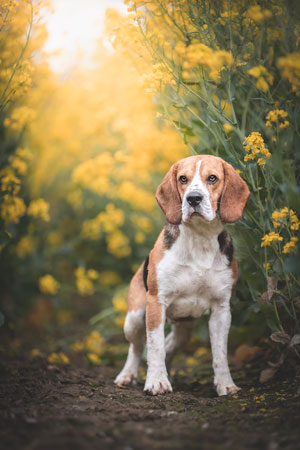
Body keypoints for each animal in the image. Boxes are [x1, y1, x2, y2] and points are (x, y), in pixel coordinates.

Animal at [115, 156, 251, 396]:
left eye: (212, 178)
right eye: (183, 179)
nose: (193, 198)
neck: (200, 239)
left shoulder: (221, 309)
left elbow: (220, 353)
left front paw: (226, 384)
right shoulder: (156, 303)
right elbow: (155, 347)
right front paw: (157, 382)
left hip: (184, 329)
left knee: (169, 346)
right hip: (135, 318)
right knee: (137, 347)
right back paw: (128, 375)